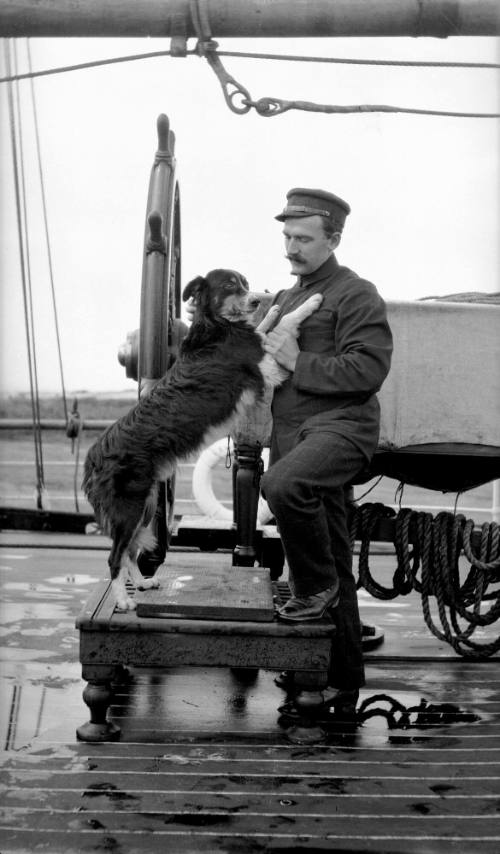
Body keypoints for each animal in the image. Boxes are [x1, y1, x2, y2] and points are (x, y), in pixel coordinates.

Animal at [83, 270, 320, 612]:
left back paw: (142, 583)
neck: (217, 324)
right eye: (230, 285)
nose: (256, 300)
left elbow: (267, 326)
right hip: (129, 507)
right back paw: (124, 600)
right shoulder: (265, 368)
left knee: (129, 551)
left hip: (146, 505)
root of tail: (93, 458)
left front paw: (273, 309)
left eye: (246, 284)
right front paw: (311, 302)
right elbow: (283, 324)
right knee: (115, 556)